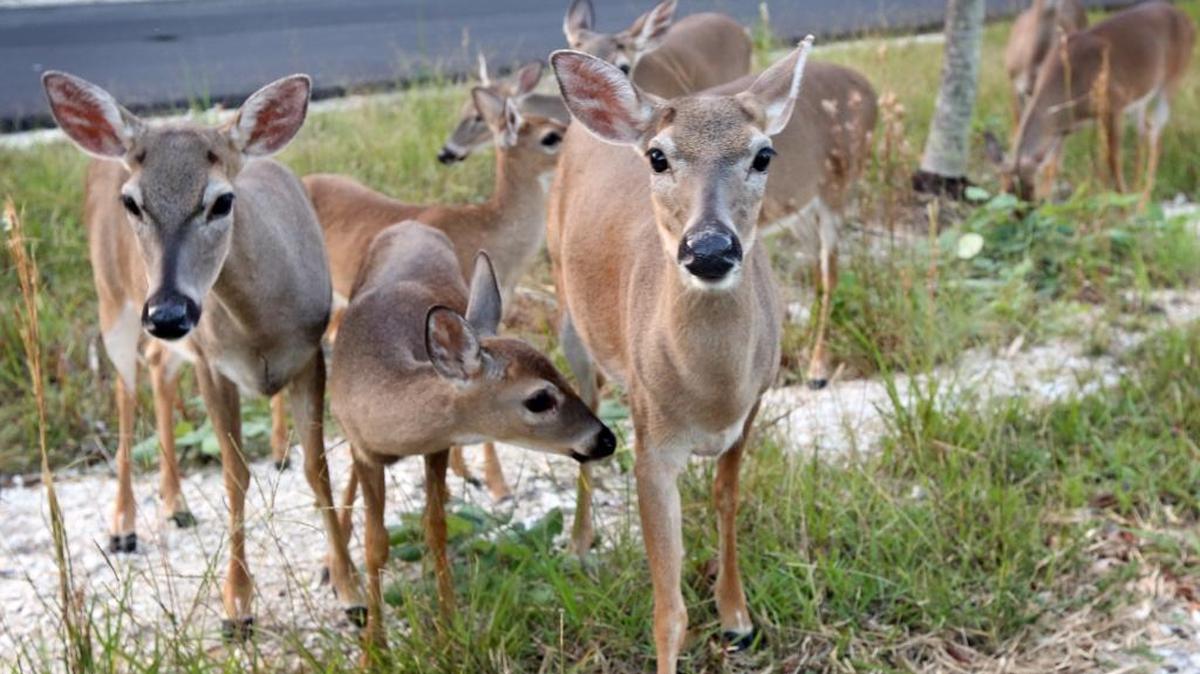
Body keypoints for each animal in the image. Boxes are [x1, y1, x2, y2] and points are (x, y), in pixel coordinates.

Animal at [42, 71, 364, 638]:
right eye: (133, 203)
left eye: (221, 201)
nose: (169, 310)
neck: (262, 327)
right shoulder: (215, 366)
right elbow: (235, 477)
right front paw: (237, 605)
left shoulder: (310, 355)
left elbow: (317, 468)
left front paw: (350, 591)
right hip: (113, 299)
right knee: (125, 389)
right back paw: (123, 525)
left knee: (157, 368)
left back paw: (176, 504)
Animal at [328, 222, 615, 652]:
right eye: (539, 398)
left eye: (560, 374)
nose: (605, 439)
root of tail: (412, 224)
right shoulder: (365, 449)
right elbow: (376, 544)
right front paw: (374, 649)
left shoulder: (437, 445)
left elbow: (437, 529)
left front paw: (449, 631)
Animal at [547, 37, 814, 672]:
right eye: (658, 157)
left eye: (764, 155)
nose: (710, 247)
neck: (711, 394)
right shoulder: (653, 443)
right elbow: (668, 612)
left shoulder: (752, 409)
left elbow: (726, 500)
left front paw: (738, 619)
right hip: (568, 311)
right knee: (584, 413)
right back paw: (579, 544)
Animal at [991, 1, 1195, 203]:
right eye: (1004, 191)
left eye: (1031, 192)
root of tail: (1185, 17)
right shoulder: (1063, 126)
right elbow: (1053, 163)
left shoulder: (1114, 105)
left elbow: (1112, 160)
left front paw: (1121, 202)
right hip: (1140, 98)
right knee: (1144, 133)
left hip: (1171, 82)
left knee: (1155, 137)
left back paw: (1142, 201)